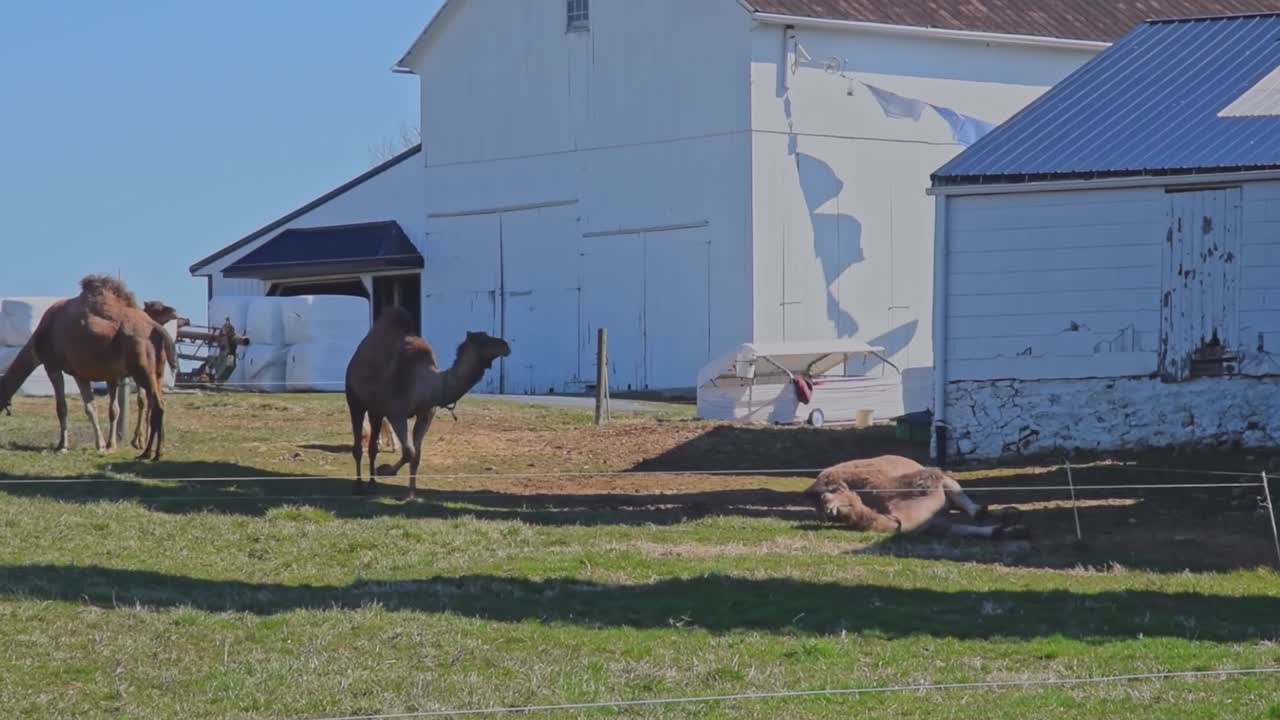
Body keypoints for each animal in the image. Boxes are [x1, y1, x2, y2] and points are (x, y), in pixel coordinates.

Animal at [0, 275, 177, 460]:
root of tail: (157, 328)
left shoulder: (53, 365)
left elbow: (63, 408)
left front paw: (63, 446)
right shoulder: (83, 373)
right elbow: (99, 408)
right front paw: (104, 445)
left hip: (142, 370)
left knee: (157, 405)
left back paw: (149, 453)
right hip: (157, 372)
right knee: (159, 403)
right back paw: (154, 451)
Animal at [345, 306, 510, 499]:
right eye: (483, 339)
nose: (506, 345)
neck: (425, 381)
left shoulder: (425, 414)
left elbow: (417, 455)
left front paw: (411, 493)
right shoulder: (396, 413)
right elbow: (409, 452)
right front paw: (385, 471)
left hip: (376, 409)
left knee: (372, 447)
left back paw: (372, 483)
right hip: (354, 399)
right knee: (358, 445)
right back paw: (358, 485)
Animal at [804, 455, 1029, 540]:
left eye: (835, 492)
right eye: (826, 497)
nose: (827, 507)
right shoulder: (929, 524)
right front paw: (1010, 529)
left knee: (966, 502)